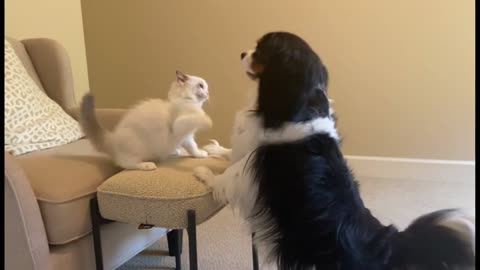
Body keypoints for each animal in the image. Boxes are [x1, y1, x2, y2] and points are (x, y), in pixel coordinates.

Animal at [80, 70, 212, 170]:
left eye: (206, 87)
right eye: (201, 86)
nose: (208, 93)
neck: (187, 101)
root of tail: (112, 137)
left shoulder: (186, 136)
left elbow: (192, 147)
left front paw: (195, 154)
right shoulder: (180, 127)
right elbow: (195, 137)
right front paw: (208, 120)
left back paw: (173, 152)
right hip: (135, 147)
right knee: (126, 164)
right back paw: (147, 165)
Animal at [193, 32, 474, 270]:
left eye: (262, 50)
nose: (242, 53)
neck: (292, 100)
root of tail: (391, 244)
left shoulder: (255, 166)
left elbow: (229, 175)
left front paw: (204, 174)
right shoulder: (249, 146)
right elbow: (231, 153)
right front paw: (213, 149)